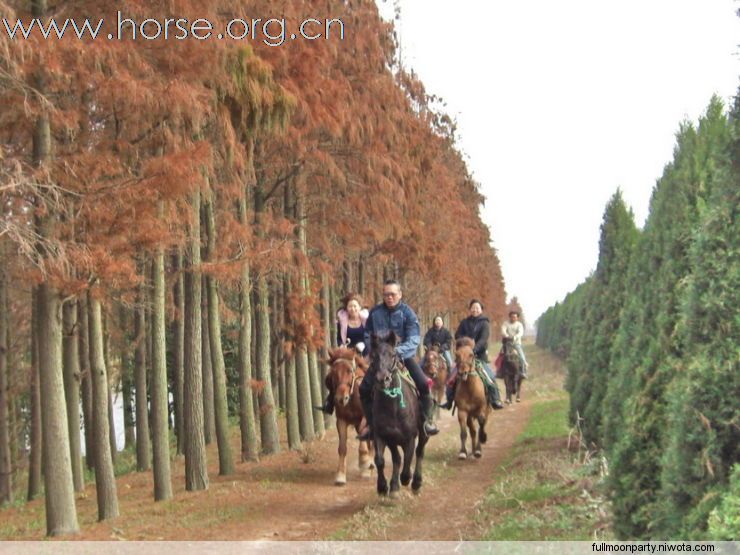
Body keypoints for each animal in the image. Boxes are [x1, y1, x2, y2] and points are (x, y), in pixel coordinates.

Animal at [328, 350, 376, 484]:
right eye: (333, 372)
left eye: (350, 370)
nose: (341, 398)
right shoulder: (341, 420)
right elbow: (342, 448)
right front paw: (340, 475)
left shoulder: (365, 419)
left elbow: (364, 441)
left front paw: (364, 462)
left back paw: (369, 466)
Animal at [368, 330, 428, 500]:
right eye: (373, 355)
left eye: (393, 354)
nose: (383, 379)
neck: (392, 405)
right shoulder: (383, 436)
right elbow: (381, 460)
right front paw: (383, 487)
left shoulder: (409, 438)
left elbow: (408, 459)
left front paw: (406, 478)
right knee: (397, 458)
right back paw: (394, 486)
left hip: (422, 433)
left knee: (419, 452)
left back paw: (416, 483)